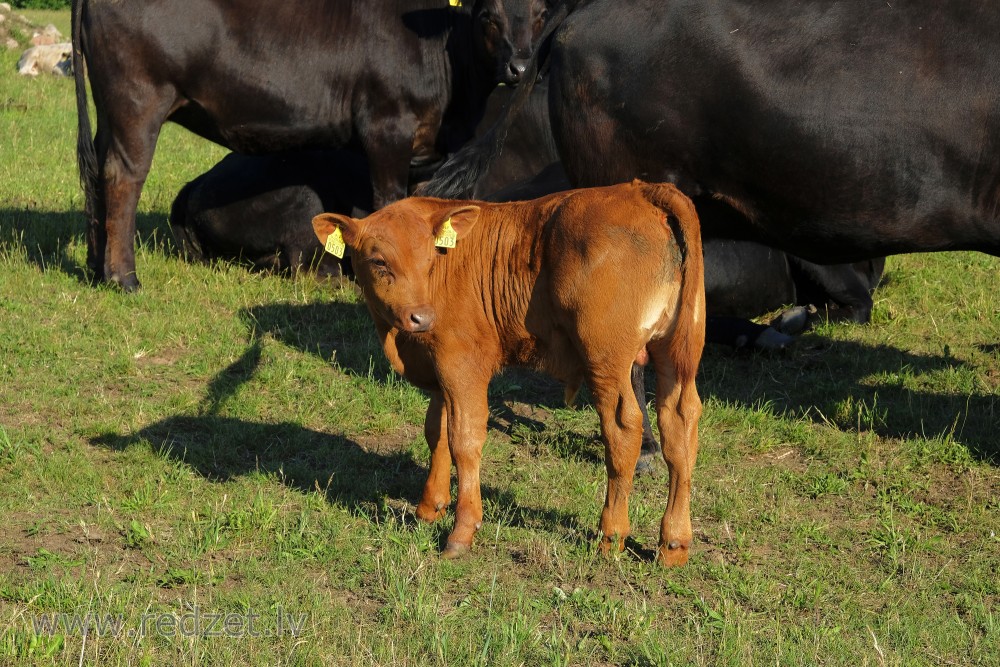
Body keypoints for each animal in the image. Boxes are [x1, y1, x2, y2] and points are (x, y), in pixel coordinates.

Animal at [70, 0, 556, 290]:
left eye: (539, 12)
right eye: (488, 14)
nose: (519, 67)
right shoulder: (386, 129)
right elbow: (388, 202)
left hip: (110, 108)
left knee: (96, 172)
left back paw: (95, 266)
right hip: (138, 100)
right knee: (123, 176)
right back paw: (123, 277)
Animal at [316, 180, 708, 568]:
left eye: (429, 259)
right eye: (379, 261)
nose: (421, 316)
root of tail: (639, 190)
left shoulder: (462, 363)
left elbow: (464, 438)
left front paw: (462, 530)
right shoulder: (439, 369)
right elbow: (436, 432)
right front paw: (430, 507)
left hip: (606, 359)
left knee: (623, 429)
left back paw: (611, 535)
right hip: (676, 355)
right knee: (680, 427)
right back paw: (673, 543)